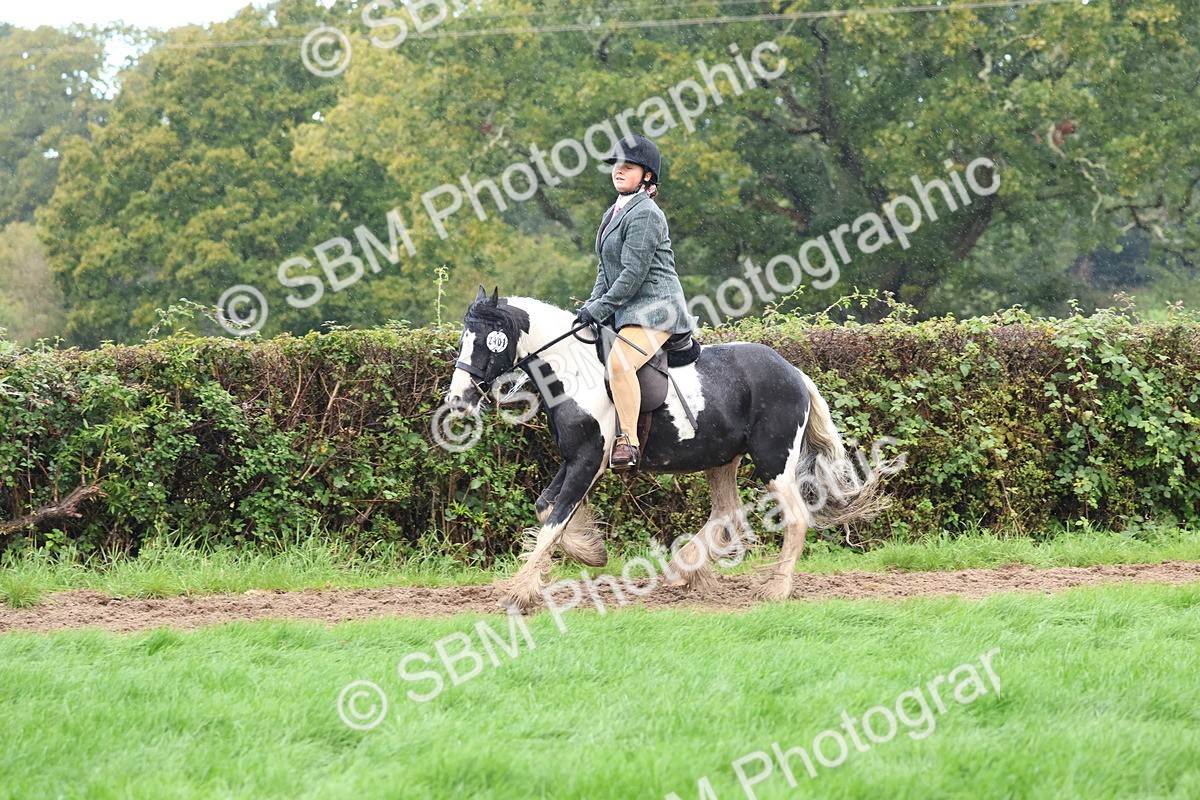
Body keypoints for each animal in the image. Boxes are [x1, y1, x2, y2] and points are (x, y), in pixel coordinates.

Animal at [443, 287, 888, 610]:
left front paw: (518, 593)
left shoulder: (588, 461)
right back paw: (687, 567)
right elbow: (545, 508)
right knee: (728, 511)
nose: (459, 399)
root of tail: (794, 372)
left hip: (773, 461)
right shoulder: (574, 459)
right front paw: (591, 552)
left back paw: (775, 590)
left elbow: (555, 521)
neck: (572, 372)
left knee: (794, 517)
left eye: (486, 341)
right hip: (721, 458)